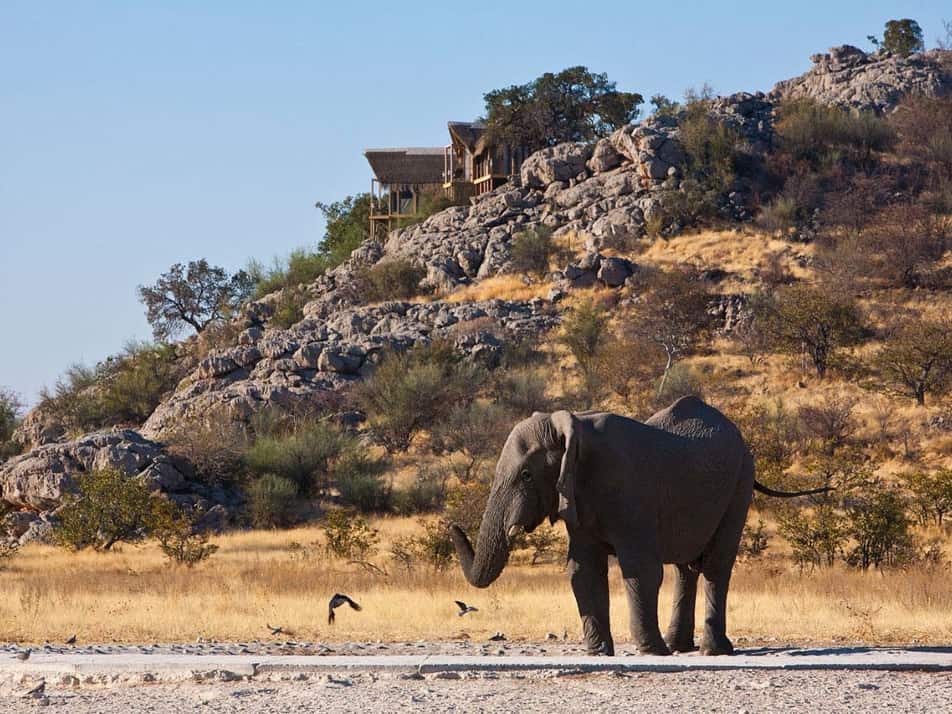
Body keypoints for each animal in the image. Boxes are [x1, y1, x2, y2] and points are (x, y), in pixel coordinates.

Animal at [446, 398, 824, 652]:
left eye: (526, 475)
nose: (451, 525)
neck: (572, 428)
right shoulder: (579, 497)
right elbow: (582, 569)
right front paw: (599, 654)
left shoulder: (628, 489)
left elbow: (639, 568)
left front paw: (651, 652)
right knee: (685, 567)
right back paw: (679, 647)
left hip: (740, 483)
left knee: (717, 565)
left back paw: (711, 651)